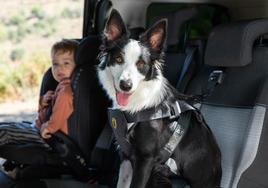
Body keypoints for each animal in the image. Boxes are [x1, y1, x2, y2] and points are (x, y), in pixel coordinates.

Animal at [97, 9, 221, 188]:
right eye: (118, 59)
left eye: (141, 64)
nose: (126, 85)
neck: (137, 106)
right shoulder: (126, 156)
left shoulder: (145, 159)